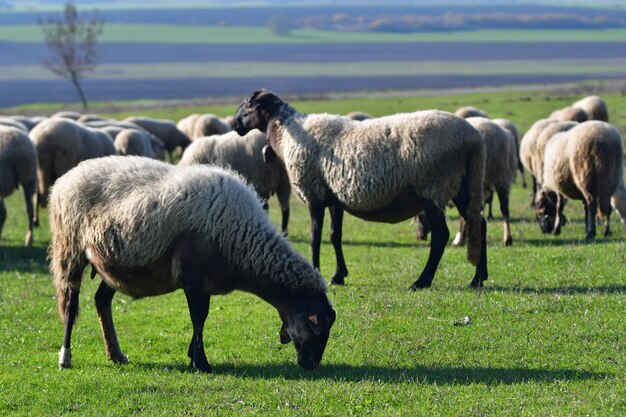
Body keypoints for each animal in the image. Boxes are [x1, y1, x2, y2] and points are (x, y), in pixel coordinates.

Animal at [49, 155, 334, 370]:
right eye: (316, 325)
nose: (311, 365)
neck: (241, 241)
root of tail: (68, 176)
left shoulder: (205, 281)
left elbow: (202, 319)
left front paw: (192, 355)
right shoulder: (192, 277)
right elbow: (198, 317)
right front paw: (201, 363)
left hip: (112, 266)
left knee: (101, 301)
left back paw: (116, 354)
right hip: (70, 248)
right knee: (71, 303)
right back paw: (65, 357)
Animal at [234, 89, 488, 288]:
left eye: (247, 105)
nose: (236, 125)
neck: (286, 133)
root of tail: (473, 140)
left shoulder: (314, 194)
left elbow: (315, 237)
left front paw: (317, 271)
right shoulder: (334, 198)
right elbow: (335, 236)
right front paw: (338, 276)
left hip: (433, 187)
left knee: (441, 235)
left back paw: (422, 281)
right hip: (462, 186)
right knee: (479, 223)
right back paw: (478, 278)